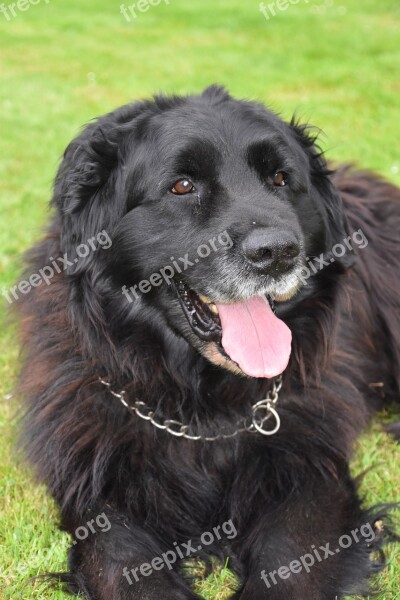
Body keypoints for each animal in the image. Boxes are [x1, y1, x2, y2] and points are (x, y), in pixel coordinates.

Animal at [17, 85, 398, 600]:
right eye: (182, 186)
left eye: (281, 179)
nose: (277, 252)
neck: (201, 409)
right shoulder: (98, 491)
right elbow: (126, 564)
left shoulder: (311, 477)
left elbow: (289, 563)